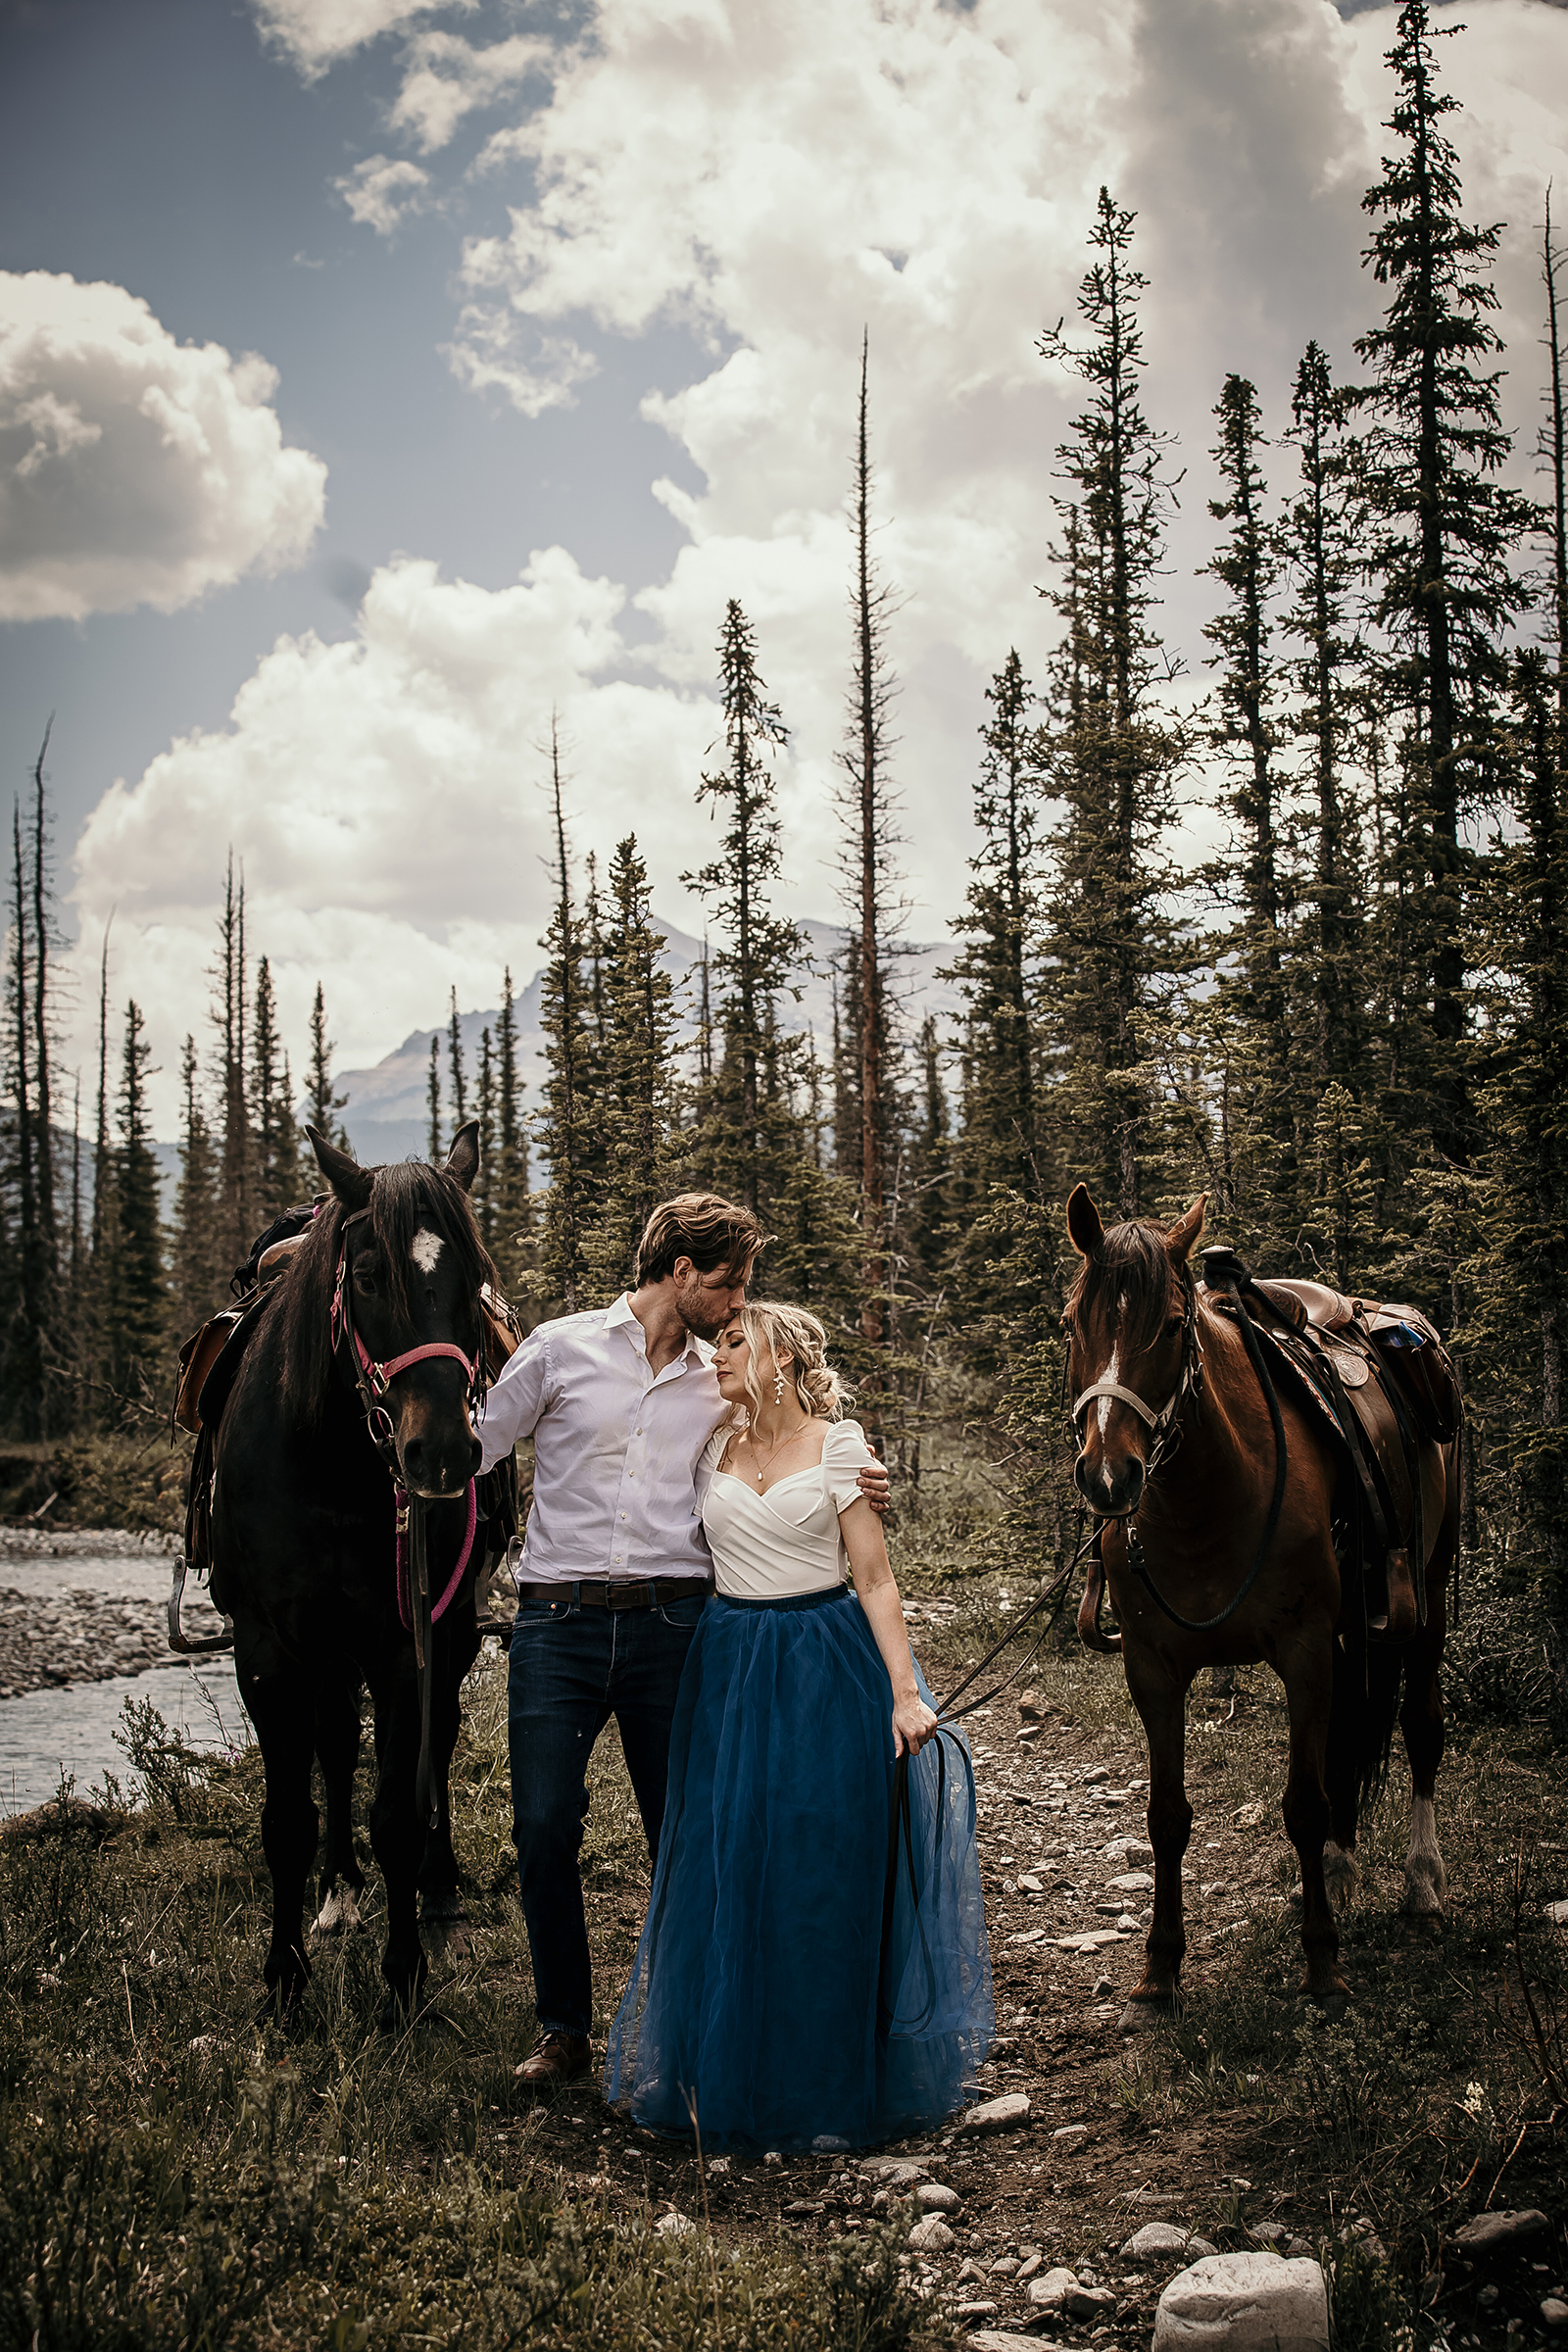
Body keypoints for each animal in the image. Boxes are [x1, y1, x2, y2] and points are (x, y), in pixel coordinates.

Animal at [211, 1119, 500, 2023]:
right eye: (368, 1275)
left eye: (476, 1278)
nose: (440, 1453)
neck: (332, 1465)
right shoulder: (266, 1648)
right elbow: (287, 1818)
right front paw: (284, 1980)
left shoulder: (406, 1640)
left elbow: (400, 1808)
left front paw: (405, 1976)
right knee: (337, 1746)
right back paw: (338, 1889)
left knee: (435, 1744)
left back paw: (439, 1892)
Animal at [1067, 1185, 1457, 2013]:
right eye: (1072, 1322)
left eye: (1172, 1325)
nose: (1109, 1477)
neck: (1207, 1496)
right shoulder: (1153, 1669)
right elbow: (1166, 1815)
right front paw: (1160, 1967)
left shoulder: (1305, 1649)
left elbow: (1303, 1806)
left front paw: (1322, 1964)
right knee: (1352, 1730)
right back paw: (1338, 1872)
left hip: (1431, 1592)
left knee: (1420, 1726)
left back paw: (1421, 1886)